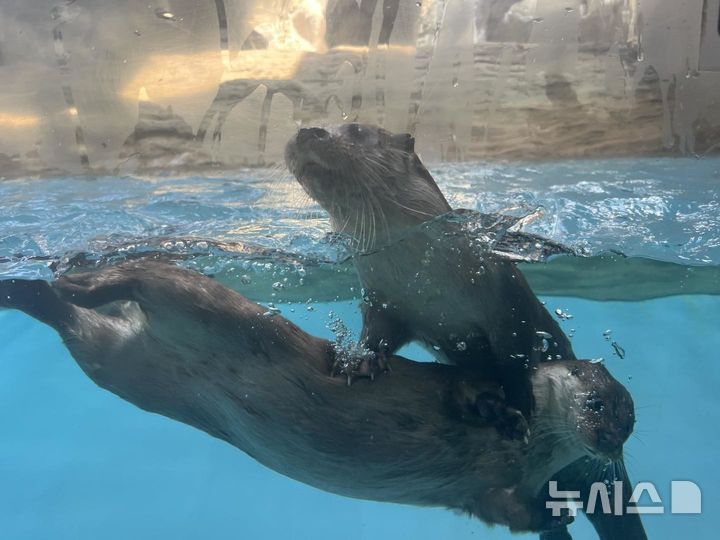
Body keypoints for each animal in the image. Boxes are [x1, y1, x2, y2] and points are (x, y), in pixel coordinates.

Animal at [0, 260, 640, 536]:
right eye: (598, 404)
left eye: (631, 424)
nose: (610, 441)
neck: (533, 457)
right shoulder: (466, 380)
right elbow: (470, 391)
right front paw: (501, 413)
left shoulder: (488, 493)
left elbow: (504, 510)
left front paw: (554, 511)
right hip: (198, 299)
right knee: (140, 274)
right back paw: (71, 277)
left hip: (118, 364)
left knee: (75, 325)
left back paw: (28, 291)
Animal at [284, 122, 576, 418]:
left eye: (355, 128)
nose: (308, 130)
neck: (428, 283)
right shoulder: (384, 302)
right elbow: (375, 335)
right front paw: (360, 361)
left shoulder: (508, 302)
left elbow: (516, 360)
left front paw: (517, 404)